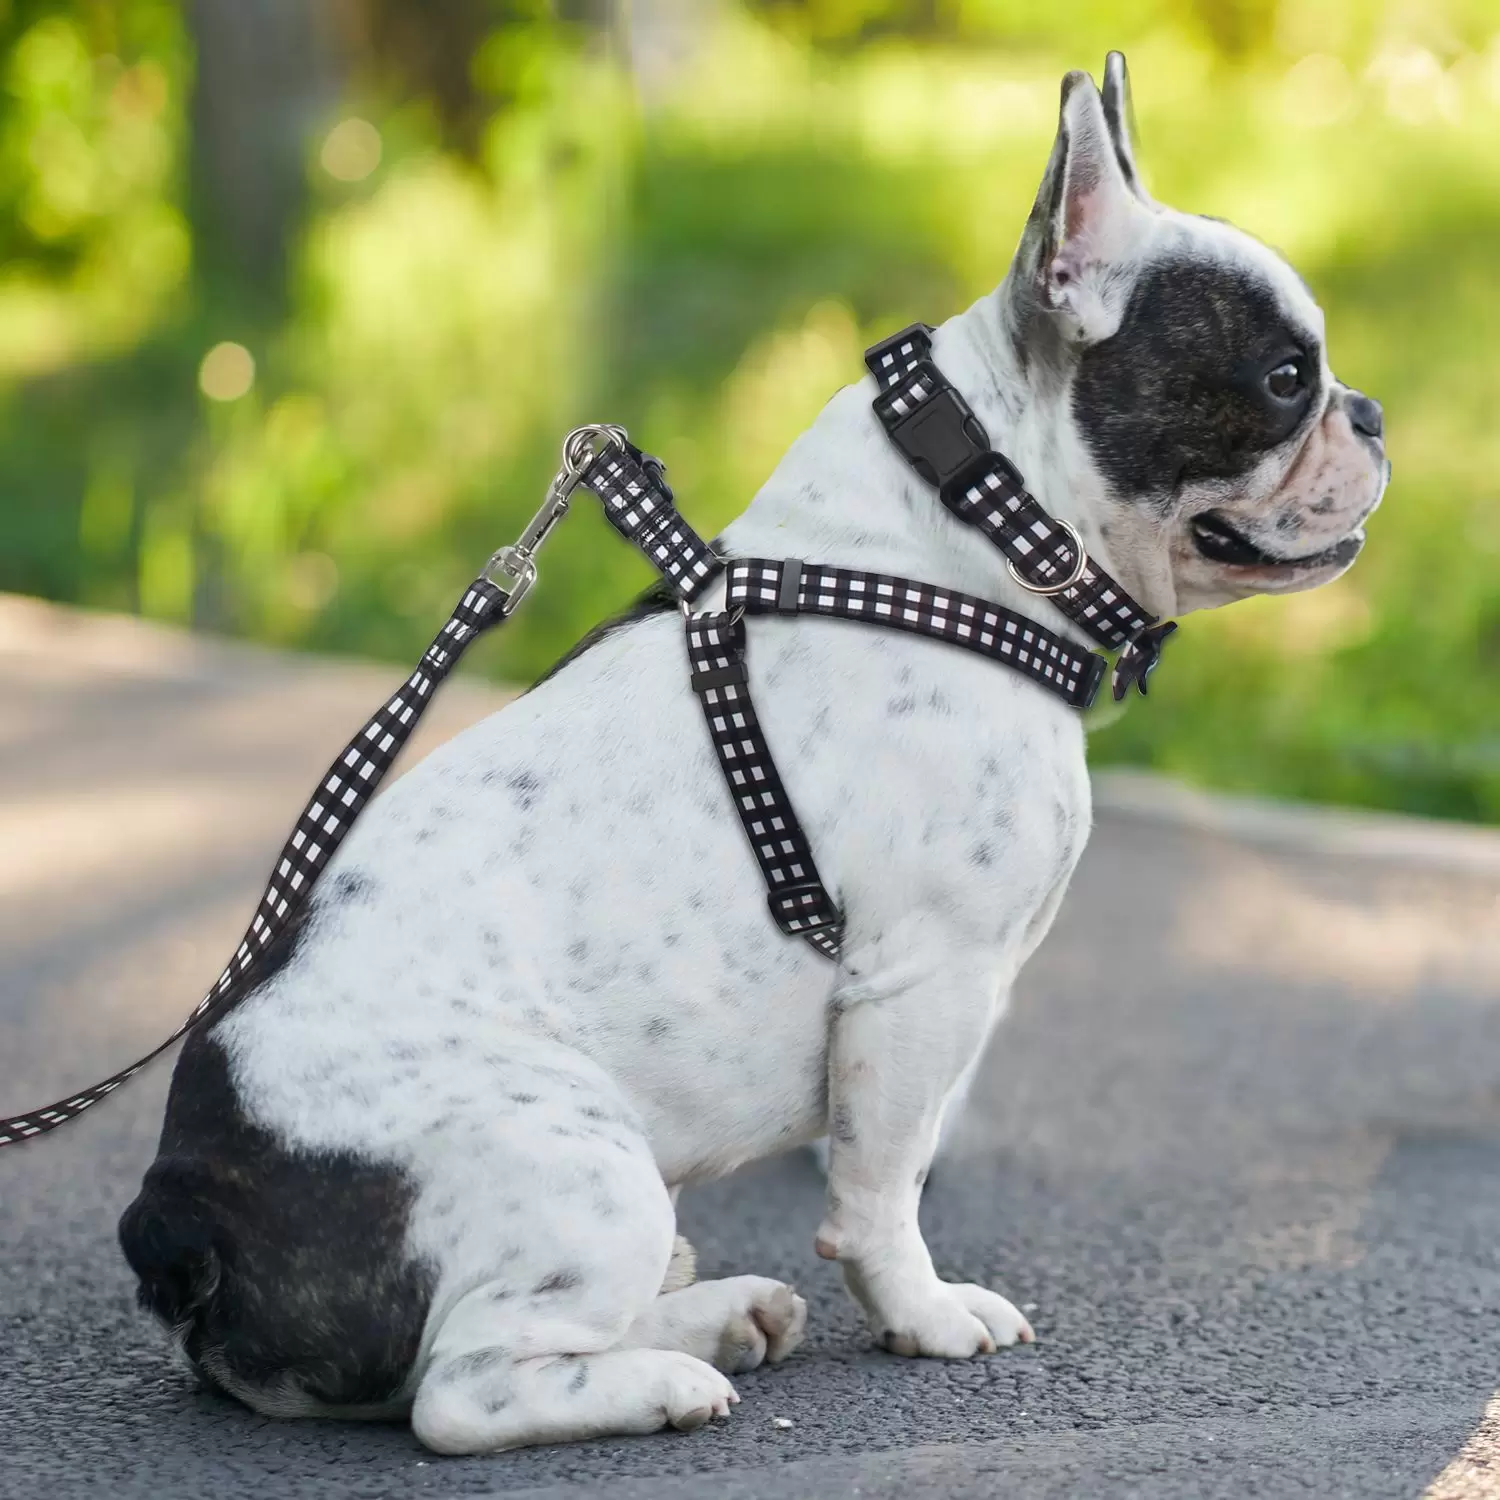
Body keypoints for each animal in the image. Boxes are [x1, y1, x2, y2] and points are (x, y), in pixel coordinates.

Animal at [117, 58, 1380, 1452]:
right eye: (1284, 379)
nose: (1372, 413)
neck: (972, 529)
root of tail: (181, 1214)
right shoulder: (922, 981)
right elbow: (884, 1184)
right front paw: (923, 1314)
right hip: (579, 1156)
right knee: (463, 1388)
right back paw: (670, 1379)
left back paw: (718, 1313)